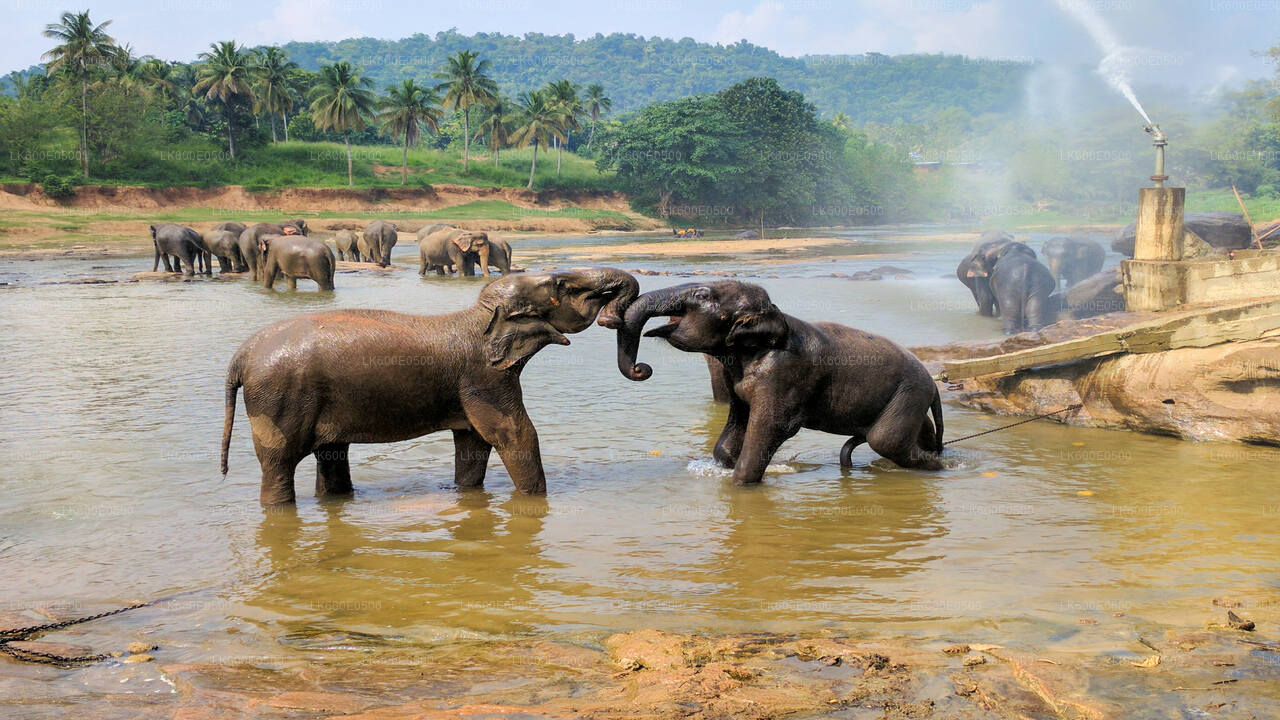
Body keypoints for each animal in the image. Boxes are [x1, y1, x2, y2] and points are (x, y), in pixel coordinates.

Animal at [222, 265, 640, 504]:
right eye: (561, 284)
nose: (610, 317)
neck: (477, 317)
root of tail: (241, 355)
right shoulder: (483, 377)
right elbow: (514, 433)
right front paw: (535, 502)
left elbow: (473, 442)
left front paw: (466, 495)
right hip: (279, 399)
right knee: (278, 464)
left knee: (332, 455)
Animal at [614, 278, 947, 479]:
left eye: (701, 295)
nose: (641, 368)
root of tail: (934, 385)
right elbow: (736, 425)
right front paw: (730, 465)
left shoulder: (783, 373)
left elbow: (773, 426)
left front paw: (742, 484)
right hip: (908, 399)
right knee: (918, 433)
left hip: (908, 393)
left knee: (885, 440)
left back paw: (939, 469)